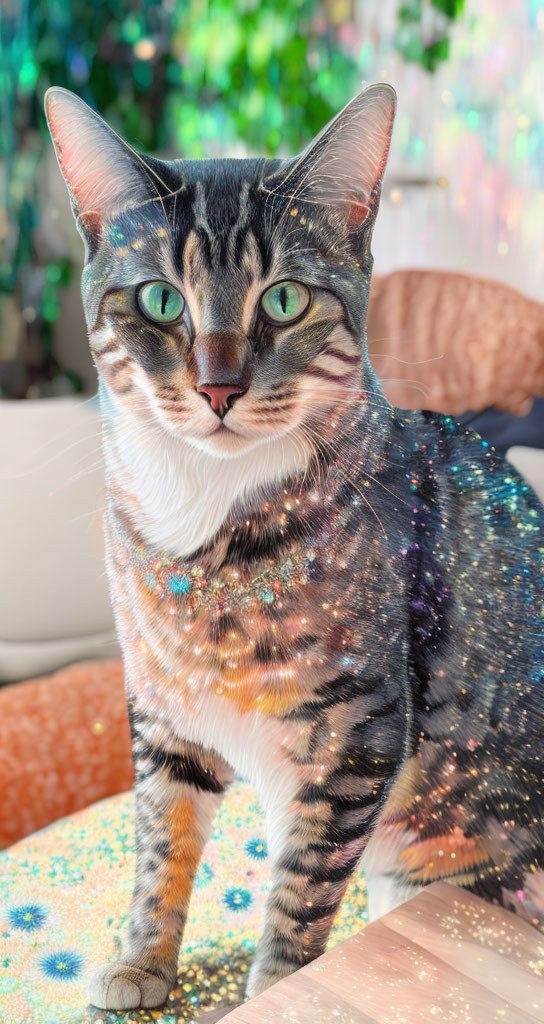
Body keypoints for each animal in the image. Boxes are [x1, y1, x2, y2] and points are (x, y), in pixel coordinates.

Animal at [46, 83, 544, 1011]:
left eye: (284, 300)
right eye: (160, 300)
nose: (218, 386)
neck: (208, 517)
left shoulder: (356, 733)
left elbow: (300, 892)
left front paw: (271, 993)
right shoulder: (161, 706)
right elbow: (159, 840)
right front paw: (142, 961)